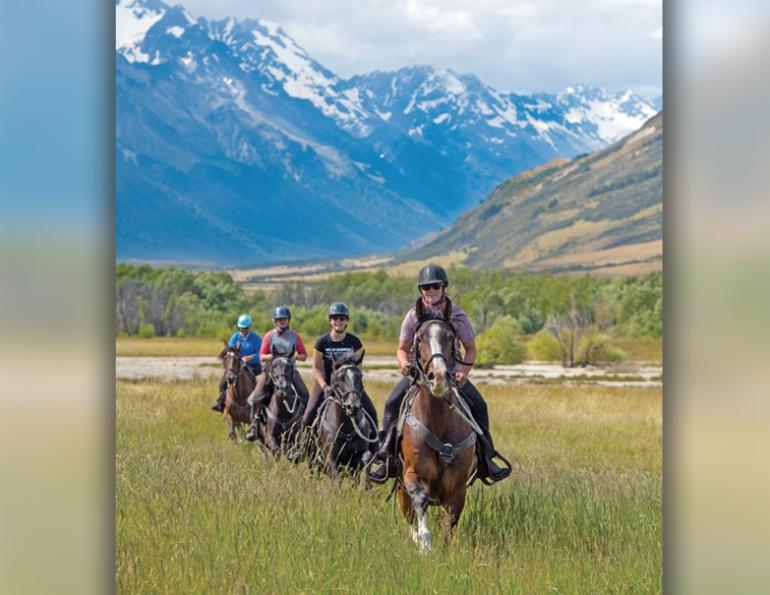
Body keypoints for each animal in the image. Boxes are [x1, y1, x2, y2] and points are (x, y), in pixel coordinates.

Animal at [396, 310, 478, 551]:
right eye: (420, 338)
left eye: (450, 337)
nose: (439, 377)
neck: (439, 422)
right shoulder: (413, 476)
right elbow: (420, 504)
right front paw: (425, 546)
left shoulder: (458, 487)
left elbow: (450, 523)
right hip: (400, 487)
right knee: (409, 515)